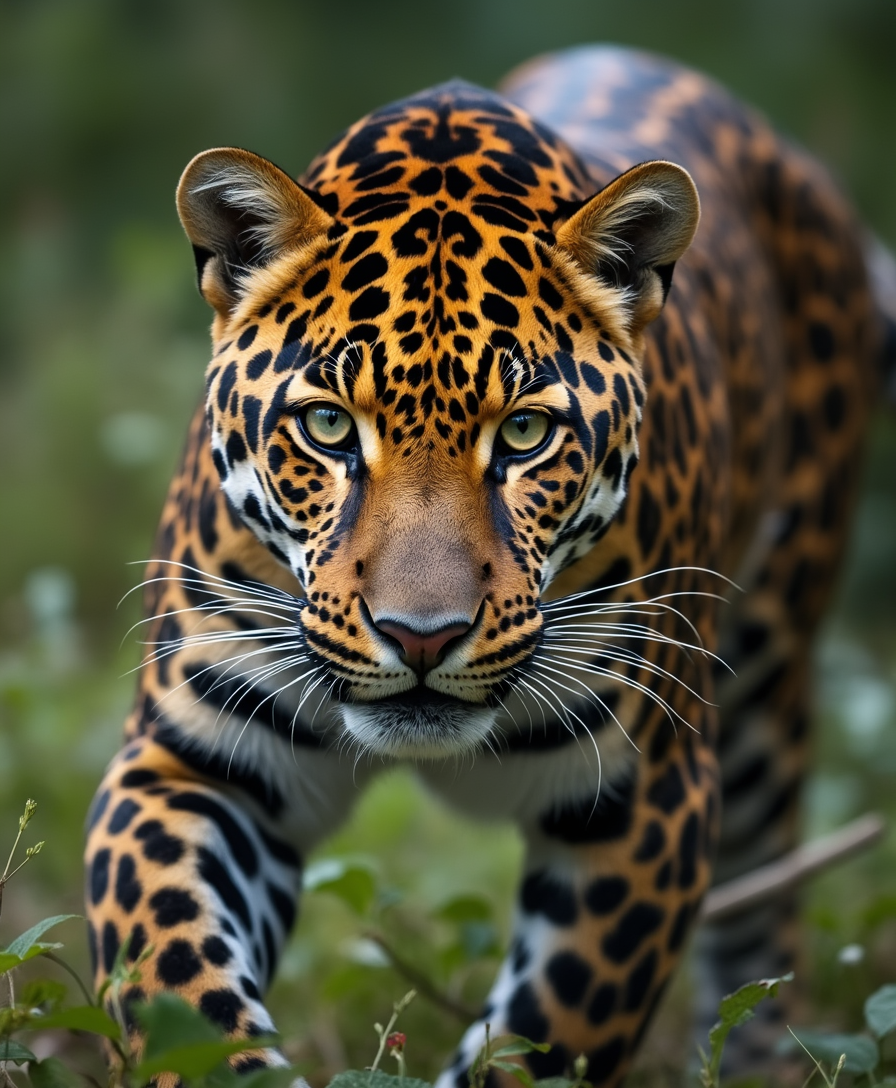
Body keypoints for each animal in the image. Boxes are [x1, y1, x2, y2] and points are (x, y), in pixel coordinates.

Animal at [84, 44, 896, 1086]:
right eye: (328, 426)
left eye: (522, 435)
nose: (420, 638)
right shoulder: (192, 764)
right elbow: (172, 975)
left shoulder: (647, 799)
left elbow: (553, 1028)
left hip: (768, 679)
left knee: (765, 914)